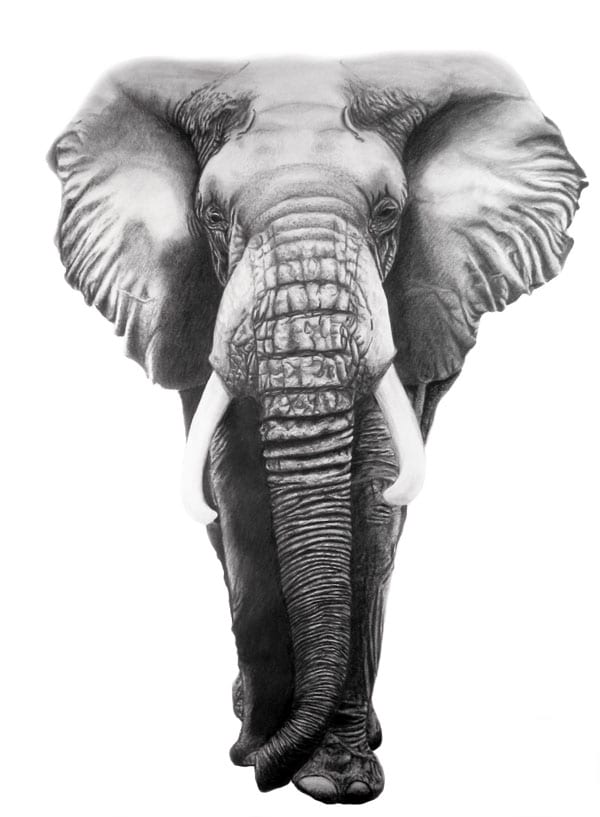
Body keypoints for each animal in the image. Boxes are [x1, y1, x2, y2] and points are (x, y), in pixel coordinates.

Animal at [48, 54, 585, 805]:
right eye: (212, 216)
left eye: (389, 212)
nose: (256, 760)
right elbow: (240, 499)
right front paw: (259, 752)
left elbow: (371, 505)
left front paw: (337, 783)